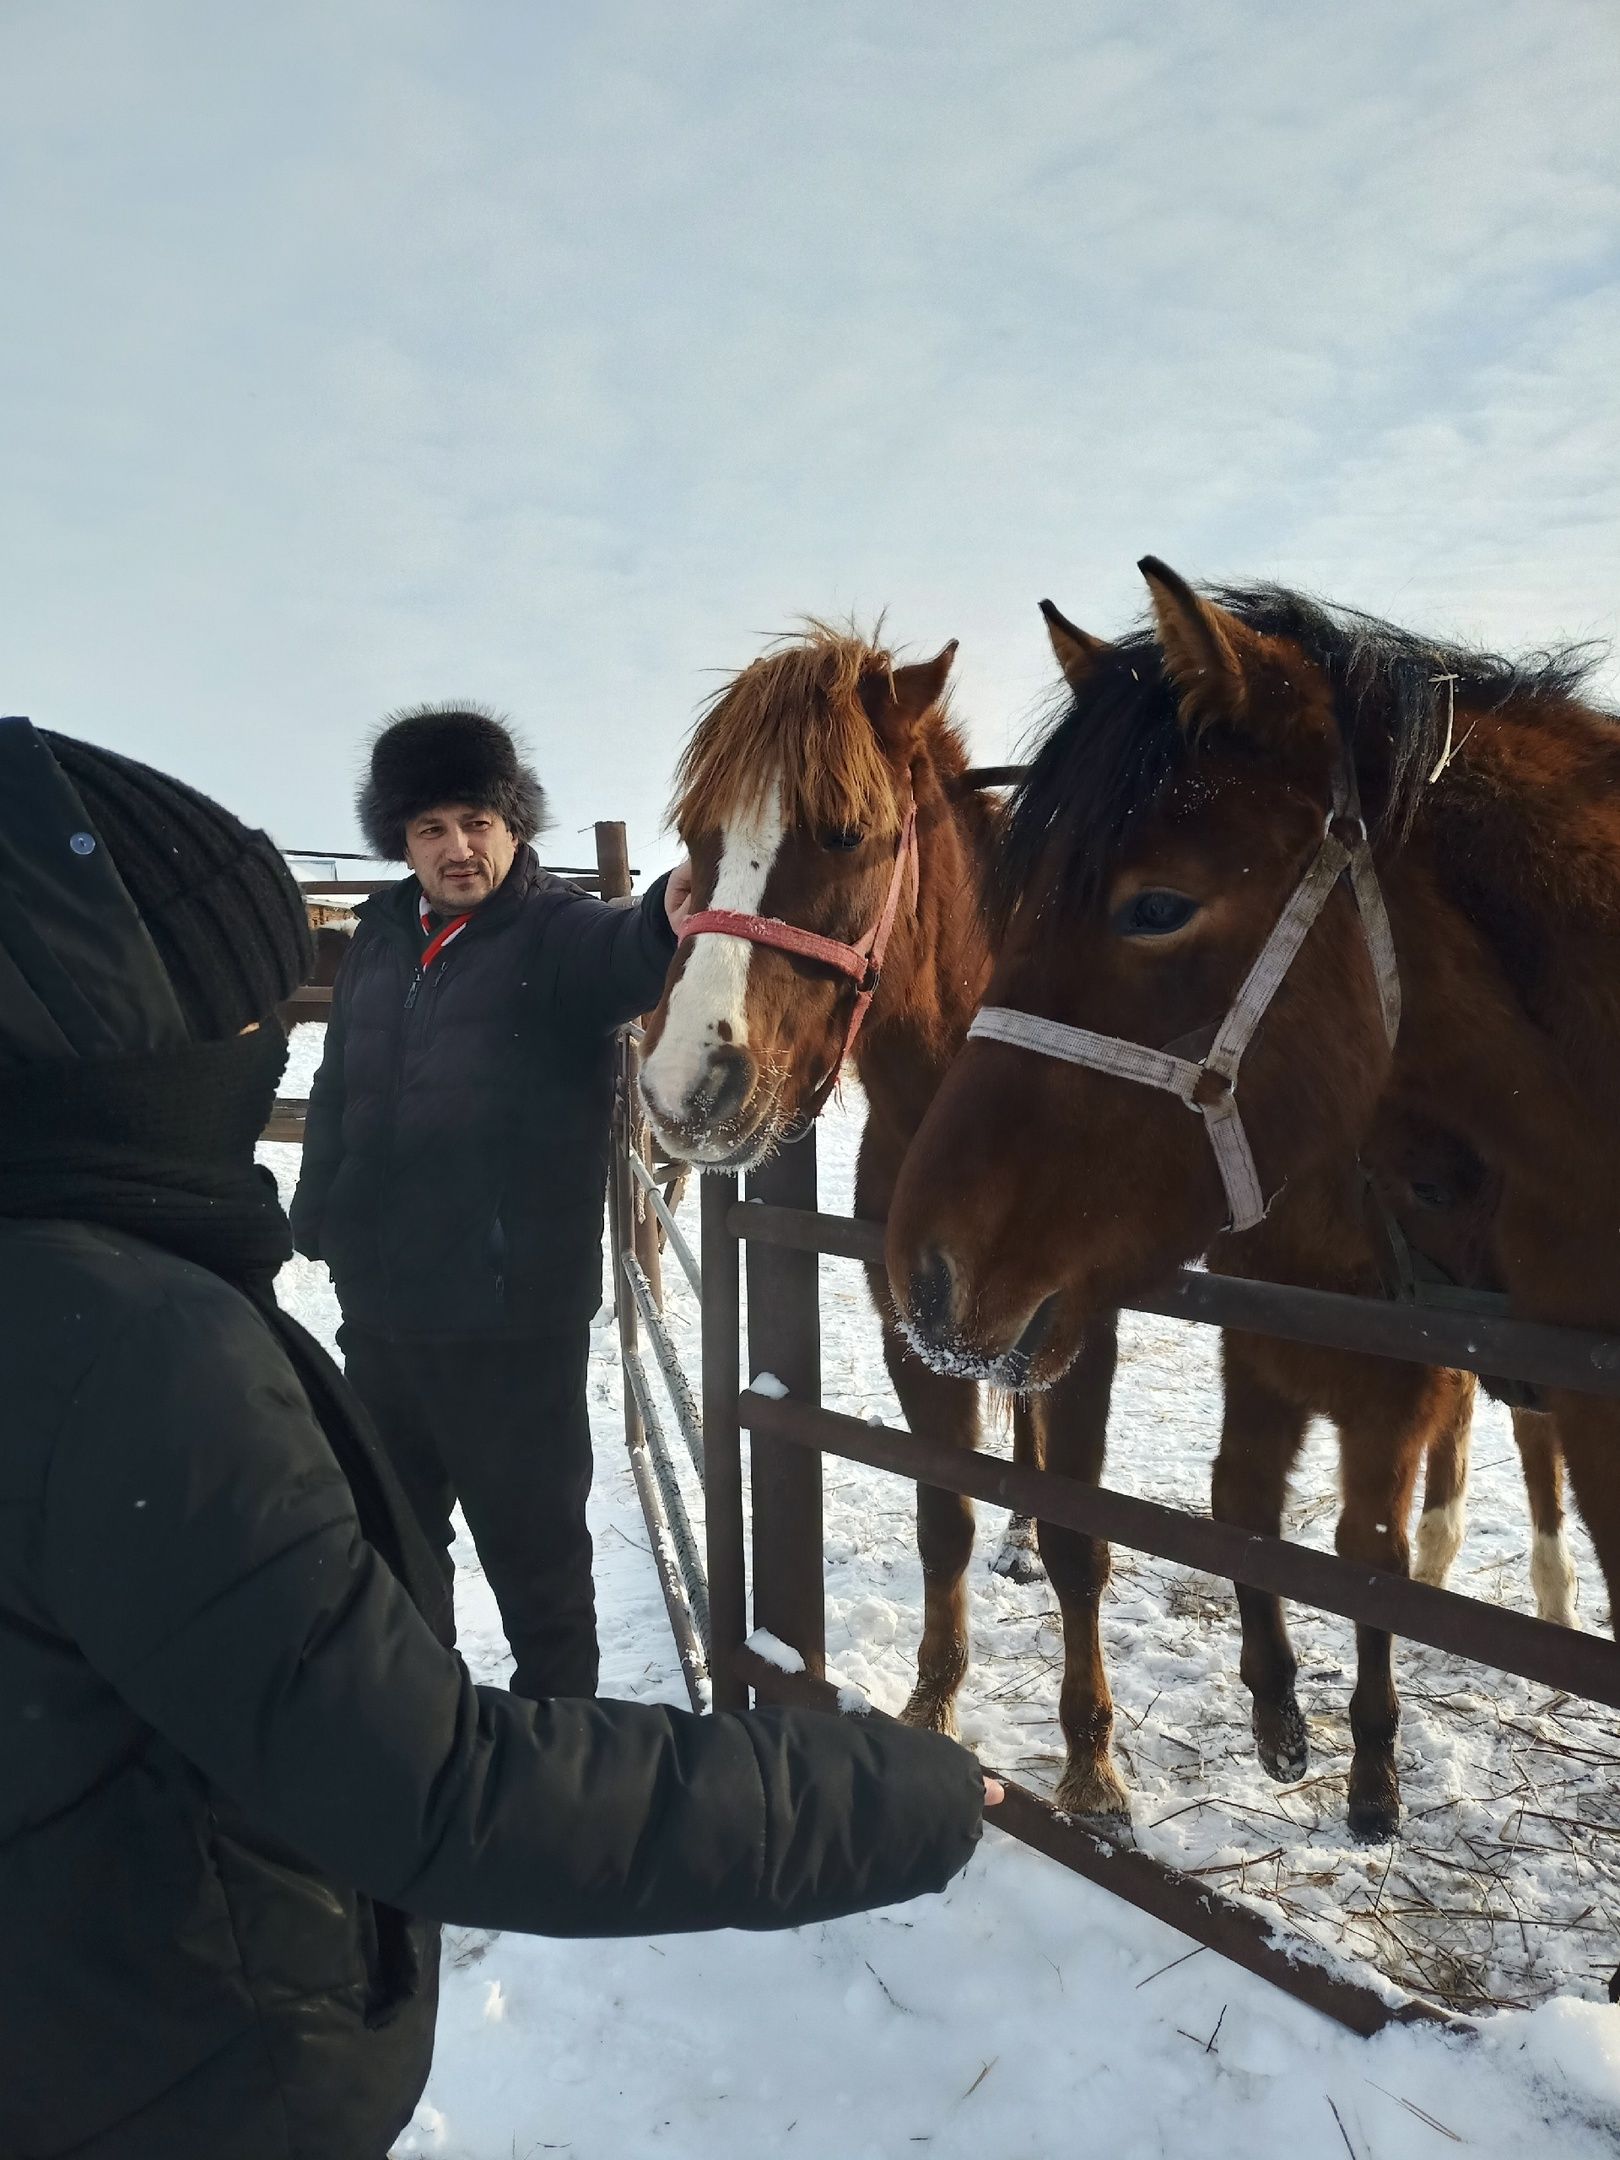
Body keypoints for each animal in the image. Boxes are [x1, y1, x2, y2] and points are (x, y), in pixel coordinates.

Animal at [639, 622, 1131, 1788]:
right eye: (695, 837)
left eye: (847, 834)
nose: (683, 1089)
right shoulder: (914, 1328)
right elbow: (942, 1516)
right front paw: (932, 1705)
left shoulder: (1082, 1336)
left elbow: (1082, 1543)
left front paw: (1091, 1768)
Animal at [894, 561, 1615, 1840]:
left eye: (1156, 906)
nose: (922, 1276)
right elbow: (1247, 1506)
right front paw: (1284, 1716)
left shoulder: (1402, 1399)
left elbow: (1360, 1547)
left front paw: (1367, 1769)